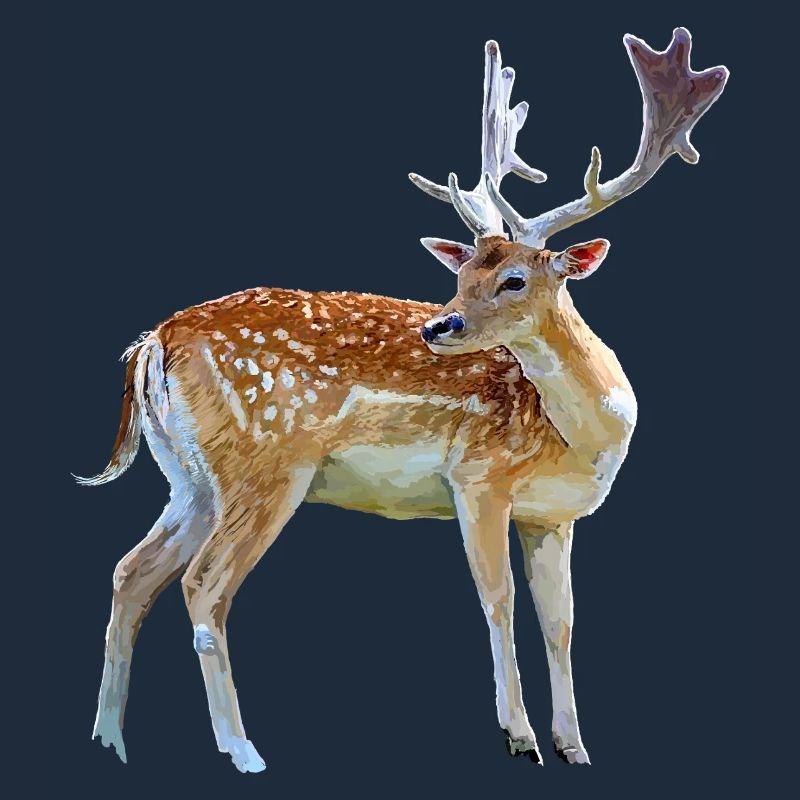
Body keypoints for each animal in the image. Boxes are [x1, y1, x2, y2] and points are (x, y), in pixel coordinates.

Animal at [80, 28, 728, 772]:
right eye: (460, 273)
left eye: (512, 278)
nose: (438, 326)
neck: (586, 437)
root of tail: (153, 342)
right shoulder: (477, 477)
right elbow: (498, 600)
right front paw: (522, 738)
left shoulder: (555, 516)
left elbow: (561, 622)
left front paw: (575, 745)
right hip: (263, 464)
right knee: (203, 584)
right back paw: (242, 749)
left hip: (189, 477)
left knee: (132, 573)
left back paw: (110, 738)